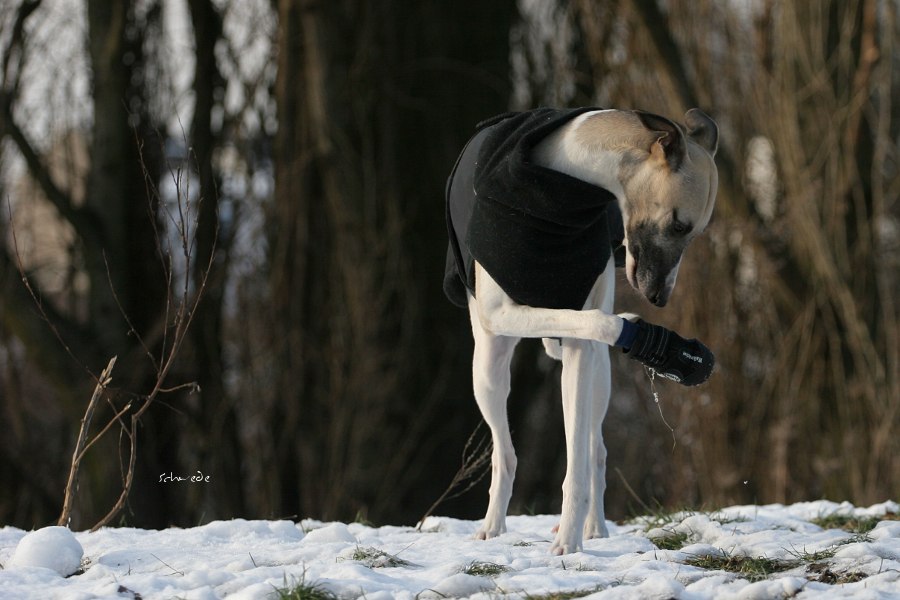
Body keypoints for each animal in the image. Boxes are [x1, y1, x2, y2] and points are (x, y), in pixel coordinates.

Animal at [442, 106, 716, 552]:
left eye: (694, 231)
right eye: (679, 225)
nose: (658, 299)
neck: (561, 194)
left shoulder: (578, 342)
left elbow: (578, 462)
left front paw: (569, 543)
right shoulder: (500, 312)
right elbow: (599, 323)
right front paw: (646, 337)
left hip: (595, 379)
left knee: (593, 448)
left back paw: (593, 527)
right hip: (487, 367)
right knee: (506, 453)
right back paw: (492, 525)